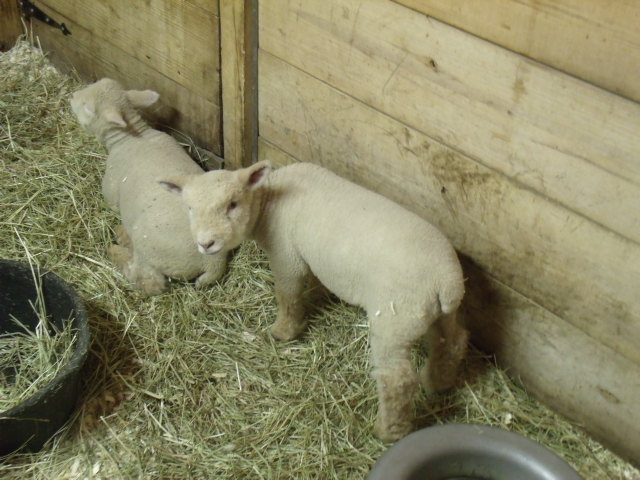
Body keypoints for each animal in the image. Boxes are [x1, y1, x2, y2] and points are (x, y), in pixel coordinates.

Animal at [70, 78, 227, 295]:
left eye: (87, 107)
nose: (72, 96)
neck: (132, 135)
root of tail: (213, 261)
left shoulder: (111, 188)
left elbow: (111, 203)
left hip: (148, 248)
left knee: (148, 281)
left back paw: (117, 249)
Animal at [159, 161, 468, 441]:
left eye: (233, 204)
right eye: (189, 208)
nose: (206, 243)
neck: (268, 201)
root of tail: (446, 282)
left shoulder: (286, 256)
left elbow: (288, 294)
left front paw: (284, 331)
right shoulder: (311, 256)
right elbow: (315, 281)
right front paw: (316, 296)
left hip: (395, 320)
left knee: (398, 380)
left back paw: (388, 431)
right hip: (435, 314)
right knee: (452, 341)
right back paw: (438, 381)